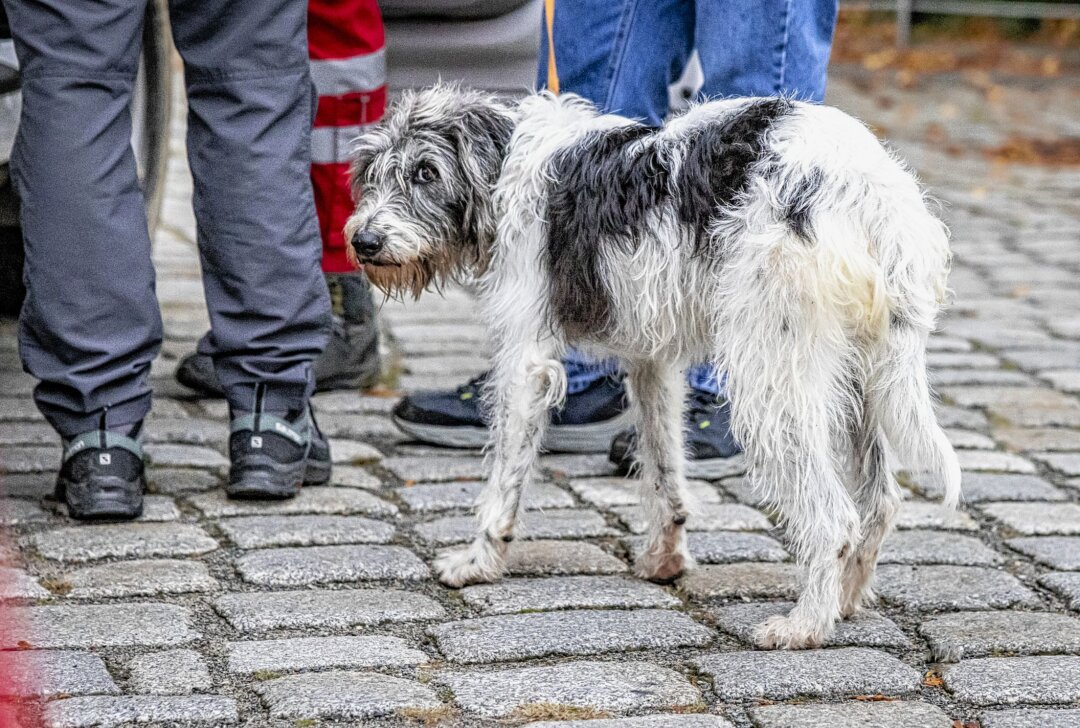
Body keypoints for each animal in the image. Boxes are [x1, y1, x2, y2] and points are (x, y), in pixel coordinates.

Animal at [343, 85, 954, 648]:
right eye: (372, 173)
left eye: (425, 172)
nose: (364, 240)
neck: (504, 165)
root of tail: (871, 188)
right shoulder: (652, 363)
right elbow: (664, 469)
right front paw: (666, 560)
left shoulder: (525, 361)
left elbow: (503, 478)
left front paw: (477, 562)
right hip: (857, 377)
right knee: (880, 502)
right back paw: (846, 602)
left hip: (770, 379)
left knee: (832, 517)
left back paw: (804, 625)